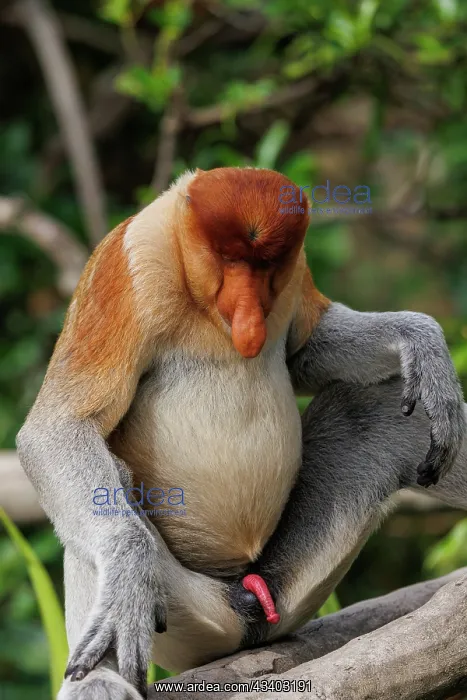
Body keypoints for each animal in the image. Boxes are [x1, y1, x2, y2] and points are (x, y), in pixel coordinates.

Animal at [15, 167, 466, 700]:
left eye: (265, 264)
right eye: (230, 260)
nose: (250, 319)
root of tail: (247, 605)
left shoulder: (294, 273)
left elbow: (306, 351)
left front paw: (421, 339)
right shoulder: (126, 266)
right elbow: (62, 426)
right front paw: (126, 574)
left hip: (290, 582)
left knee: (373, 413)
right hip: (192, 620)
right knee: (106, 491)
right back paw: (100, 679)